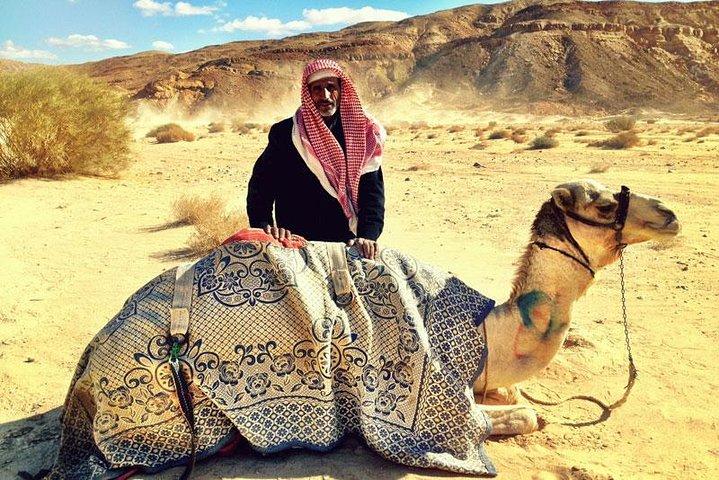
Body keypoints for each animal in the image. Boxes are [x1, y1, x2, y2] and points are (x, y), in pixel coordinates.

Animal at [48, 179, 679, 479]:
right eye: (601, 205)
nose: (671, 215)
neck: (490, 331)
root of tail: (84, 371)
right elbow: (525, 415)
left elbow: (517, 396)